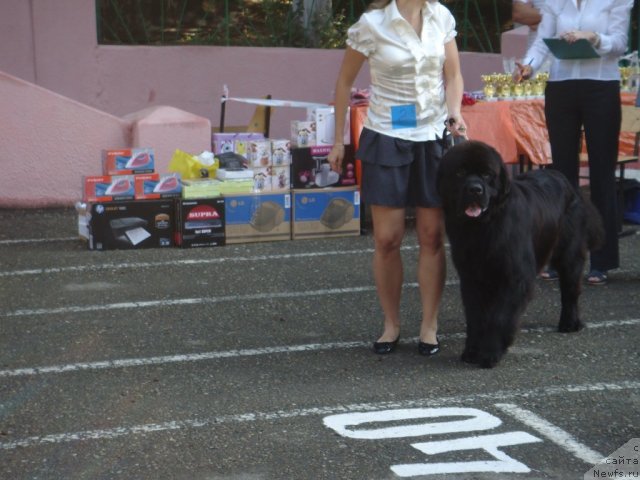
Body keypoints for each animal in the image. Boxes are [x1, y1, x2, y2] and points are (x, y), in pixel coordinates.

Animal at [438, 141, 604, 370]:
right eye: (460, 172)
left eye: (487, 174)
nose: (475, 189)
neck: (483, 227)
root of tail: (569, 184)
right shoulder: (472, 277)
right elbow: (475, 316)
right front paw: (471, 351)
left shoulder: (514, 276)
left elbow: (500, 317)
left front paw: (490, 353)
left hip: (569, 255)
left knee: (570, 290)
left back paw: (569, 323)